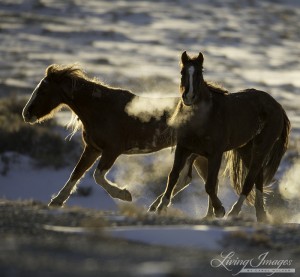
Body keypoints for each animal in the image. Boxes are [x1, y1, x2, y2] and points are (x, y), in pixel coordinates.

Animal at [22, 63, 212, 209]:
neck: (102, 109)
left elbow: (97, 176)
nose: (26, 114)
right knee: (188, 180)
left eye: (43, 90)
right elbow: (76, 173)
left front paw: (124, 194)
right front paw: (57, 201)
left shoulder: (112, 150)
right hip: (193, 154)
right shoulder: (92, 149)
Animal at [156, 50, 290, 221]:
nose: (189, 96)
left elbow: (210, 185)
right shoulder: (183, 148)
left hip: (261, 147)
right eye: (182, 72)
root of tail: (277, 106)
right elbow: (173, 176)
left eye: (199, 73)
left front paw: (219, 210)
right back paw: (260, 215)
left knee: (250, 179)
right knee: (258, 177)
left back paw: (234, 212)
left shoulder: (215, 154)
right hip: (246, 149)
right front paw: (161, 207)